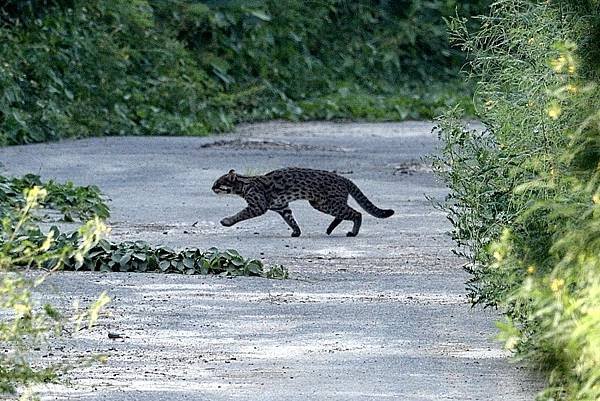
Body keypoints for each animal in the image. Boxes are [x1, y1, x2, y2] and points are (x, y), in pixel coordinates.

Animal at [211, 167, 394, 236]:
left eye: (218, 183)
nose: (211, 188)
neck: (244, 184)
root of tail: (344, 178)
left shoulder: (258, 206)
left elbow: (240, 214)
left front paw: (227, 221)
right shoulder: (282, 206)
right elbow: (291, 220)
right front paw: (296, 231)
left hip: (328, 204)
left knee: (357, 213)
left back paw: (353, 232)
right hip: (321, 204)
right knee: (346, 213)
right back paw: (330, 228)